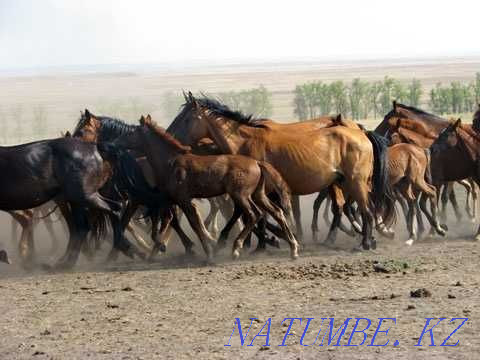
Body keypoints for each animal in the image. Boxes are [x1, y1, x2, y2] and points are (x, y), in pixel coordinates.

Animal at [114, 115, 298, 262]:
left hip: (241, 195)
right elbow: (173, 222)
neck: (171, 162)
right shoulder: (170, 200)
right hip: (257, 195)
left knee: (254, 214)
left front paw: (208, 251)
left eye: (131, 132)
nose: (115, 143)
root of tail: (257, 163)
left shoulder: (183, 199)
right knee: (276, 212)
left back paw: (236, 248)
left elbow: (194, 223)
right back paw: (293, 248)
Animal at [167, 93, 392, 250]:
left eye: (185, 119)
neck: (246, 142)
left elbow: (260, 216)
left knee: (364, 210)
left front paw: (259, 244)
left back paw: (363, 243)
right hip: (344, 183)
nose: (169, 135)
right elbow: (258, 215)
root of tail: (362, 133)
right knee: (352, 208)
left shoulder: (257, 190)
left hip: (355, 182)